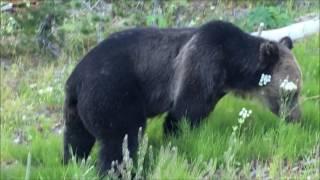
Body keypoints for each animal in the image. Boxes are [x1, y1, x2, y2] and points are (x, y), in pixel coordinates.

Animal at [63, 20, 302, 173]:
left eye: (299, 88)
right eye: (290, 92)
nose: (297, 118)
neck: (231, 67)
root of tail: (75, 79)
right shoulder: (201, 64)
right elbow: (185, 111)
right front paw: (178, 136)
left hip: (77, 110)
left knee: (76, 140)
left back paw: (72, 164)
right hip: (112, 93)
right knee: (120, 140)